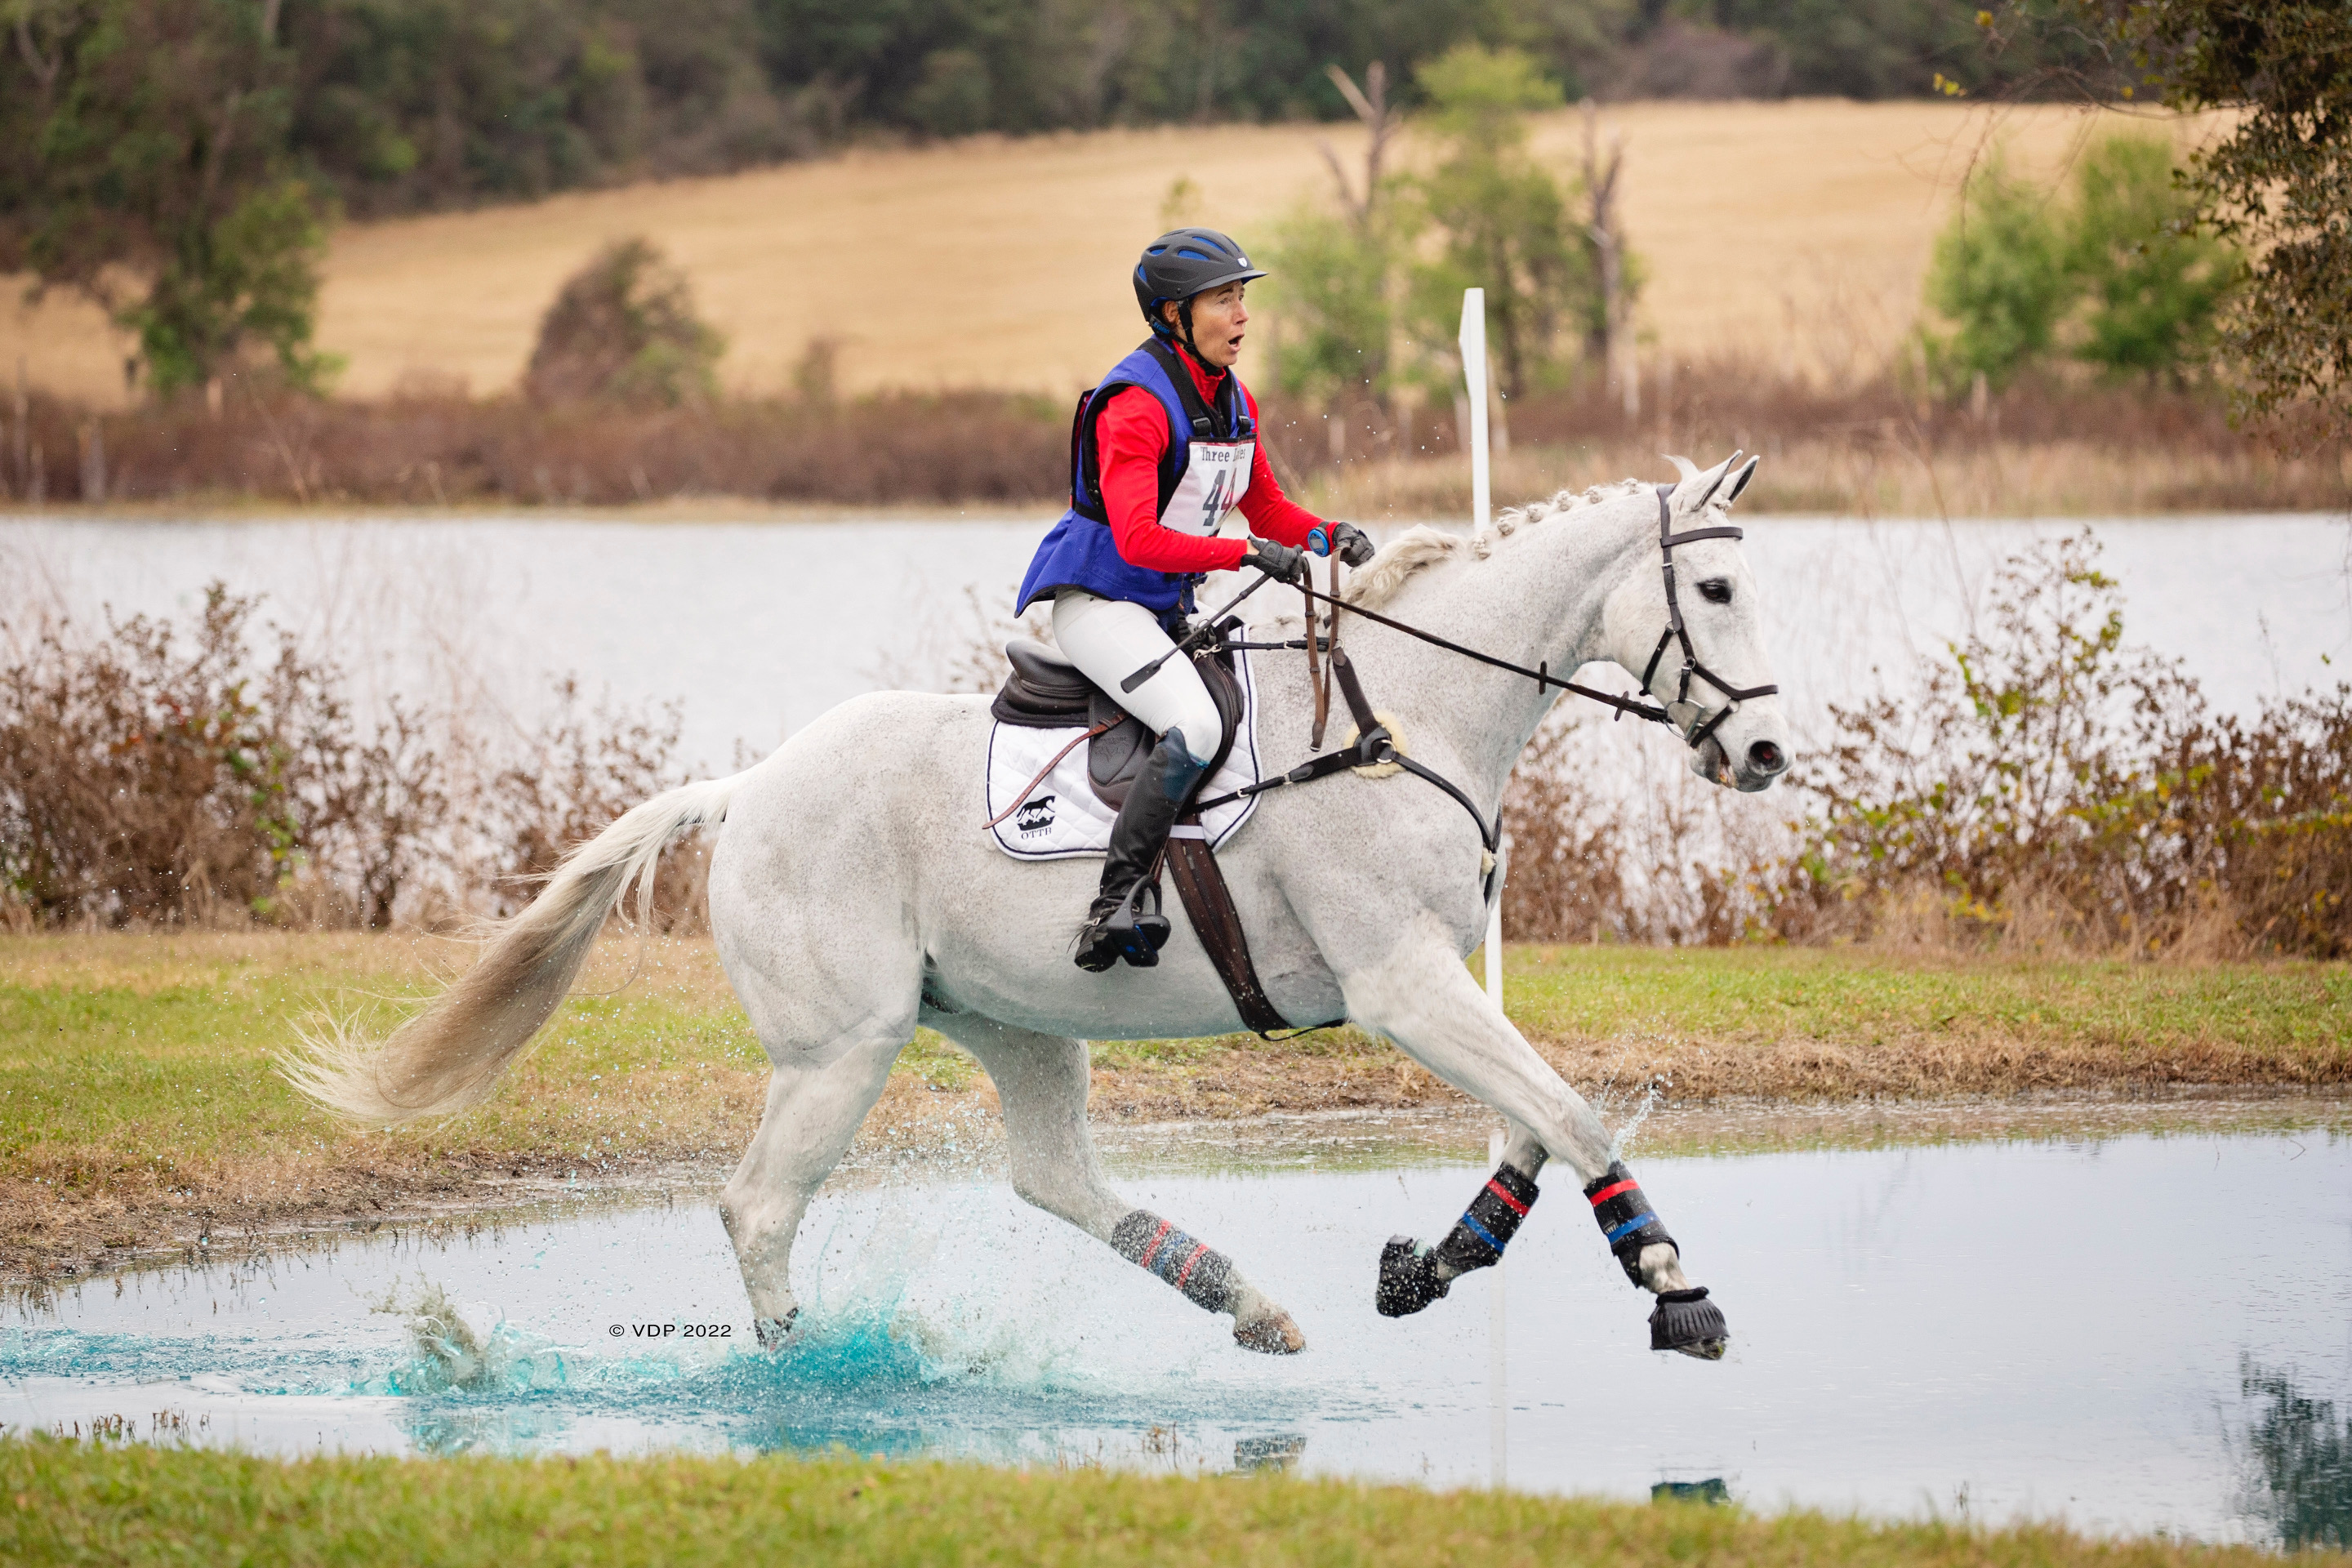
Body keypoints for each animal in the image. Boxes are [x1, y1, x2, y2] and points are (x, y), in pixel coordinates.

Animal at [284, 451, 1778, 1363]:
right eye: (1713, 587)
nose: (1765, 753)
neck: (1403, 716)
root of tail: (749, 788)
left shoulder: (1445, 985)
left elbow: (1537, 1119)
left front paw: (1436, 1264)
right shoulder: (1402, 985)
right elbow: (1571, 1114)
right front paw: (1675, 1287)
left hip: (1015, 1020)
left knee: (1052, 1176)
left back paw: (1249, 1307)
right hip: (843, 1048)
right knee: (759, 1207)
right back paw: (797, 1374)